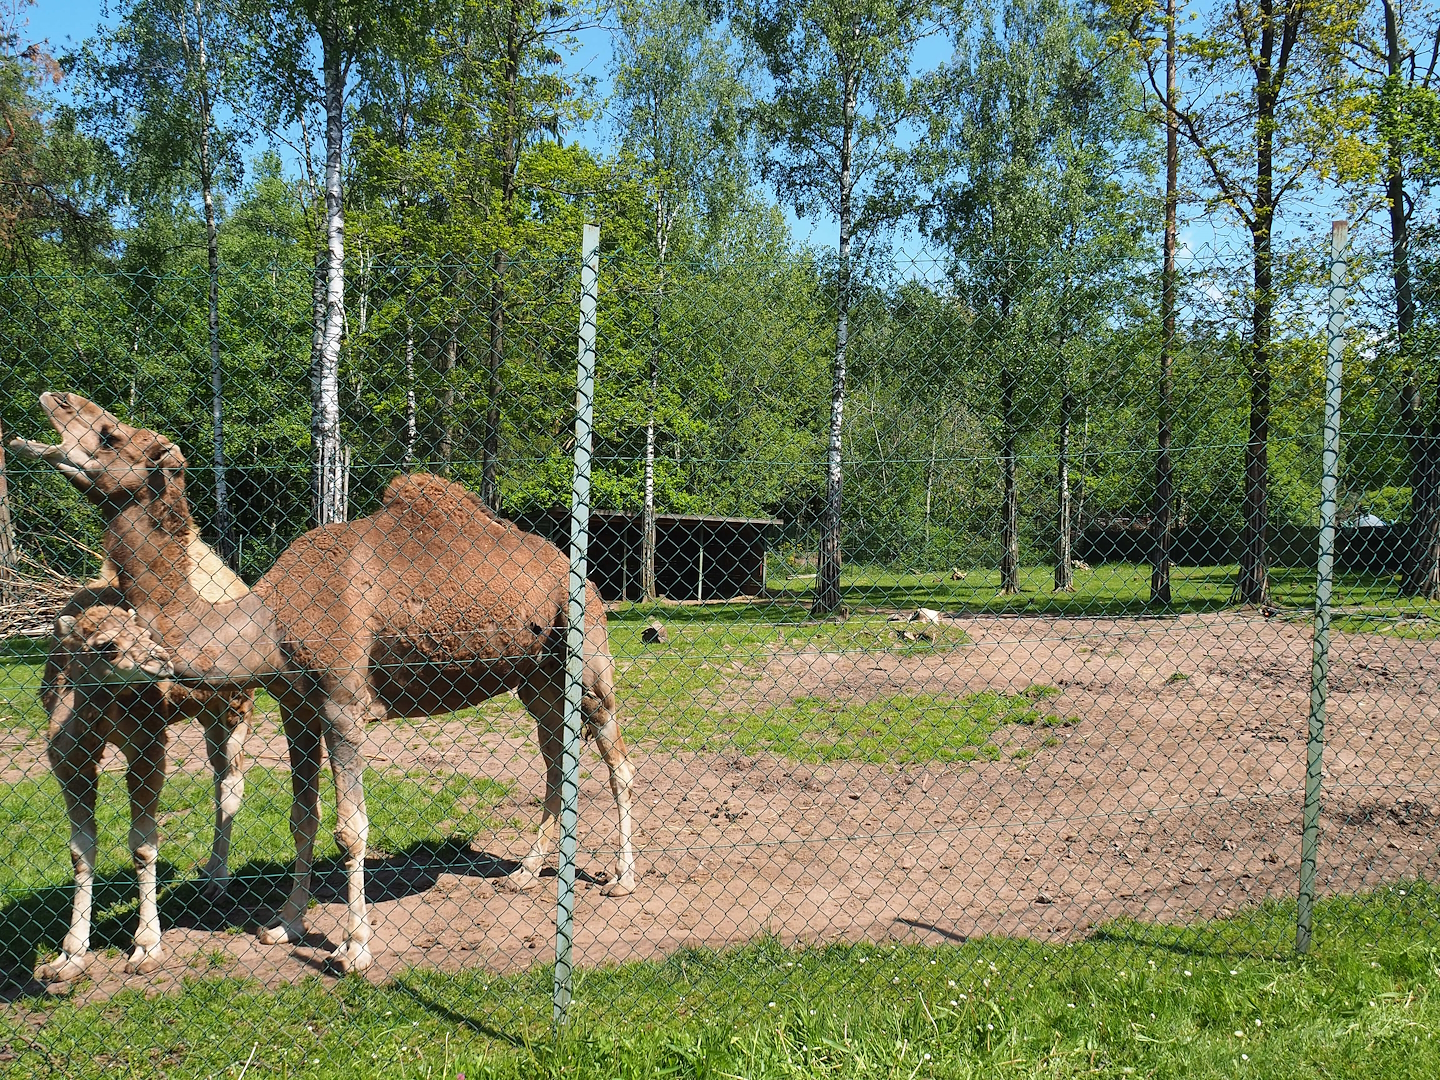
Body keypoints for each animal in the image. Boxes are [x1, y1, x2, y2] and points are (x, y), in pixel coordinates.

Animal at [35, 603, 253, 982]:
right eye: (105, 644)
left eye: (145, 633)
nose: (161, 660)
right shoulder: (68, 758)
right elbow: (80, 851)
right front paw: (68, 958)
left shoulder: (147, 743)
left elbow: (142, 847)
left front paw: (146, 948)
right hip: (209, 710)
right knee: (220, 775)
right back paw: (210, 874)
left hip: (233, 705)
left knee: (231, 780)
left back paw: (218, 883)